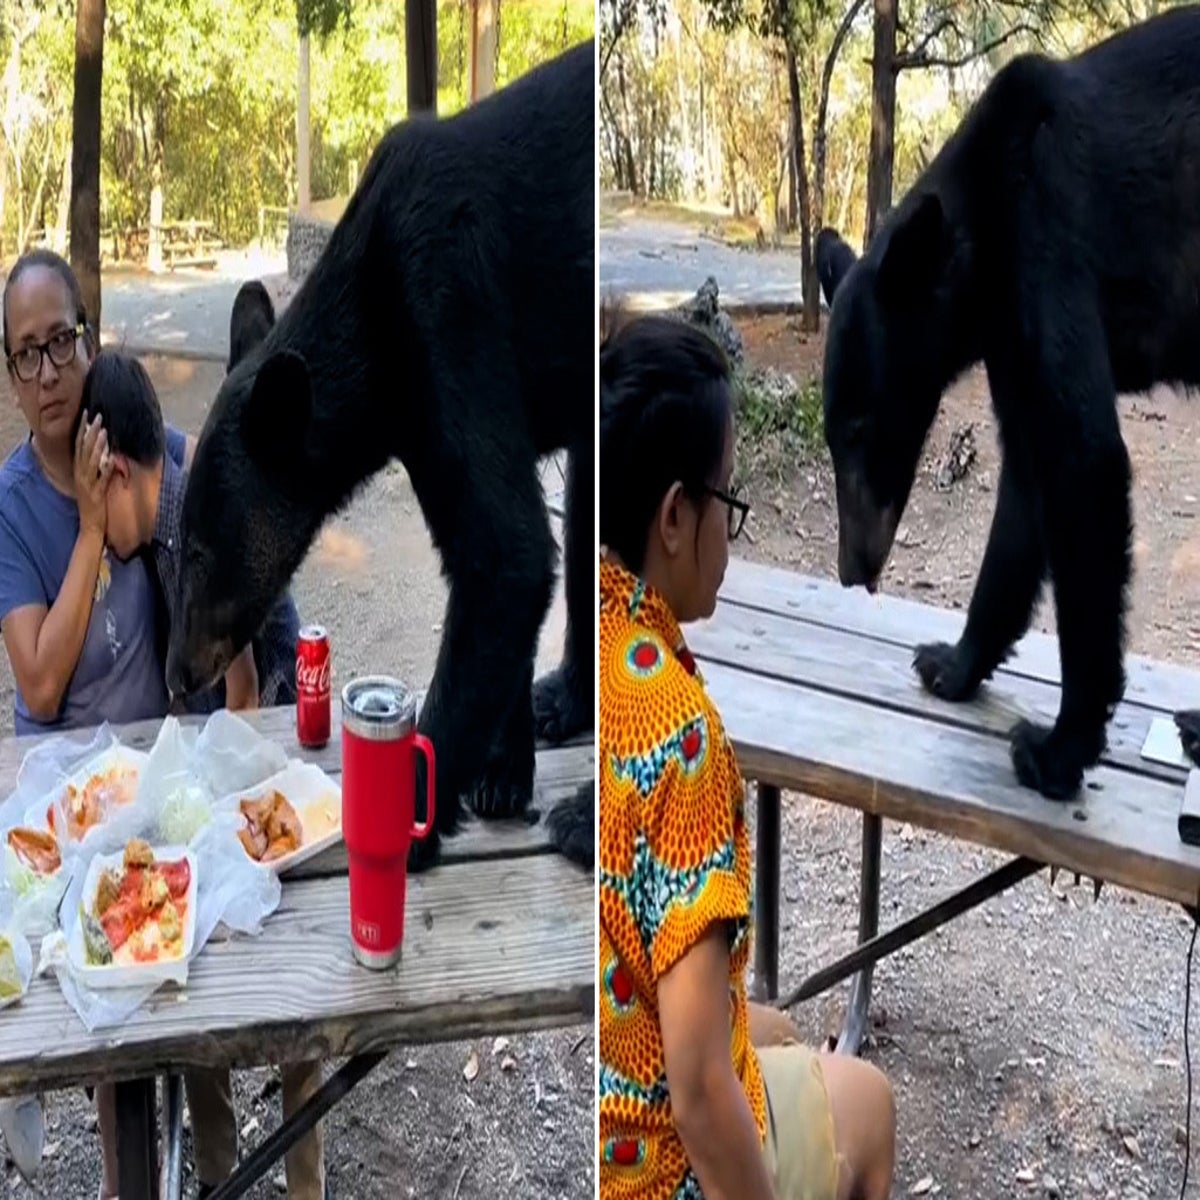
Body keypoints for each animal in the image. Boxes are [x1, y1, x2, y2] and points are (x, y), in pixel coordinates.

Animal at [166, 42, 597, 868]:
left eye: (200, 551)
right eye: (178, 549)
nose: (177, 674)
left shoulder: (450, 307)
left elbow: (505, 553)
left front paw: (413, 816)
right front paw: (502, 771)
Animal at [820, 9, 1200, 801]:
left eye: (863, 428)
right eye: (832, 435)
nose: (852, 569)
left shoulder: (1050, 241)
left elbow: (1084, 460)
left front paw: (1060, 747)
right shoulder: (1008, 337)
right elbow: (1025, 483)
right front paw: (952, 662)